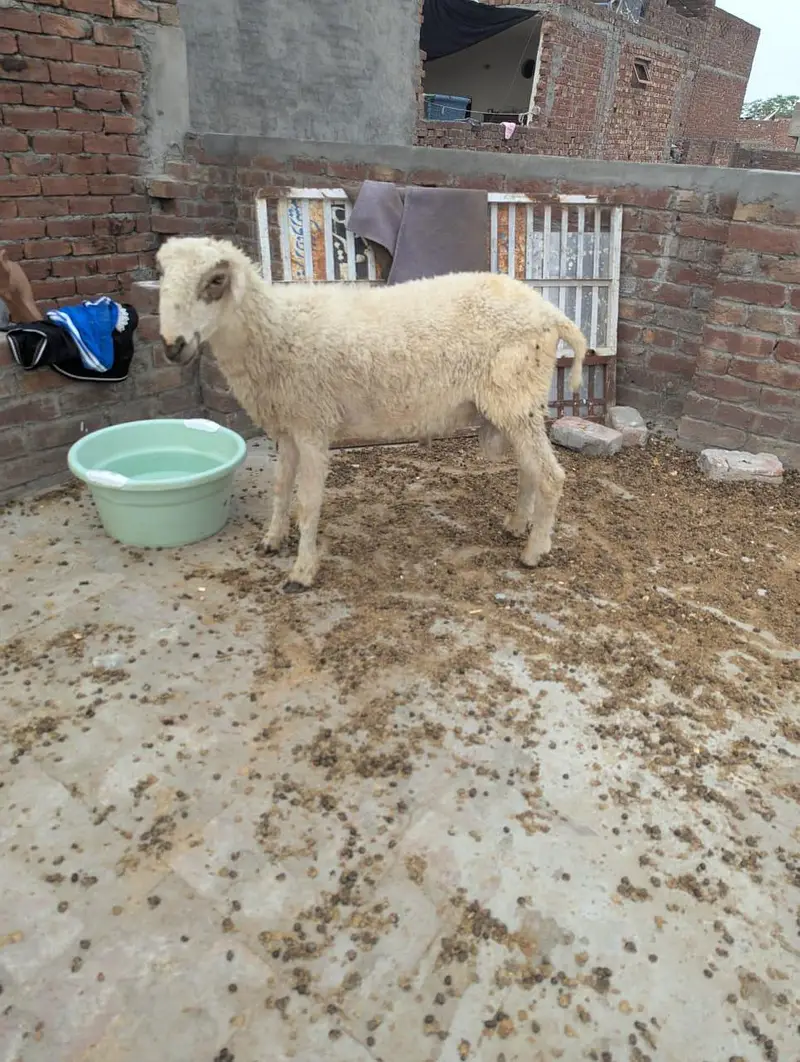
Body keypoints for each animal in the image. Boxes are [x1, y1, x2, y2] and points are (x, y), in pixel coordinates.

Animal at [156, 236, 590, 593]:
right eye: (163, 277)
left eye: (215, 282)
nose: (172, 346)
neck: (274, 329)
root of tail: (551, 313)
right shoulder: (288, 426)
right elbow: (280, 489)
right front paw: (271, 540)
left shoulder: (313, 423)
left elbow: (308, 502)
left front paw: (301, 572)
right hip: (515, 405)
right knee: (530, 469)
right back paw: (518, 525)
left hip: (515, 395)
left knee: (550, 475)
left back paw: (534, 551)